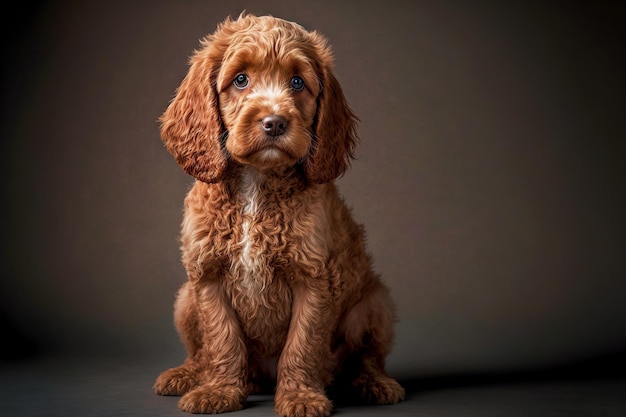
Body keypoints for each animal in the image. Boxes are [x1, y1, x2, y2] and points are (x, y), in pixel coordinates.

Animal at [154, 13, 402, 416]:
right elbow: (222, 339)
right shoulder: (207, 275)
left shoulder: (314, 278)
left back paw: (374, 383)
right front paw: (219, 391)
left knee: (367, 357)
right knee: (201, 352)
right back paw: (188, 374)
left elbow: (302, 345)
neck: (257, 181)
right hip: (185, 299)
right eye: (240, 79)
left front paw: (300, 396)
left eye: (297, 82)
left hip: (375, 302)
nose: (274, 122)